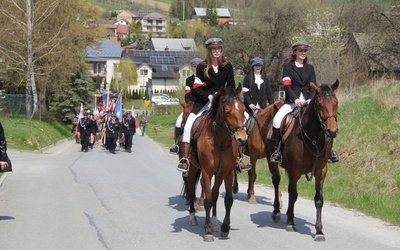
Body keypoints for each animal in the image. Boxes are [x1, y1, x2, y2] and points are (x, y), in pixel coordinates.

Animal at [184, 84, 247, 242]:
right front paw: (207, 231)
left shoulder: (228, 172)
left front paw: (225, 228)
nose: (242, 139)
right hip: (193, 168)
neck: (220, 140)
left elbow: (228, 199)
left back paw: (214, 223)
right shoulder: (206, 172)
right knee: (192, 188)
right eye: (227, 111)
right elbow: (207, 200)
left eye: (243, 110)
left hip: (219, 174)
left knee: (215, 193)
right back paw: (193, 217)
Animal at [268, 79, 340, 240]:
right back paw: (277, 213)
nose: (332, 131)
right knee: (277, 182)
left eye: (336, 102)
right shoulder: (294, 170)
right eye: (320, 104)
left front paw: (319, 231)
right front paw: (290, 223)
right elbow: (293, 194)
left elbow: (319, 199)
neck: (313, 137)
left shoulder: (321, 171)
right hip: (274, 163)